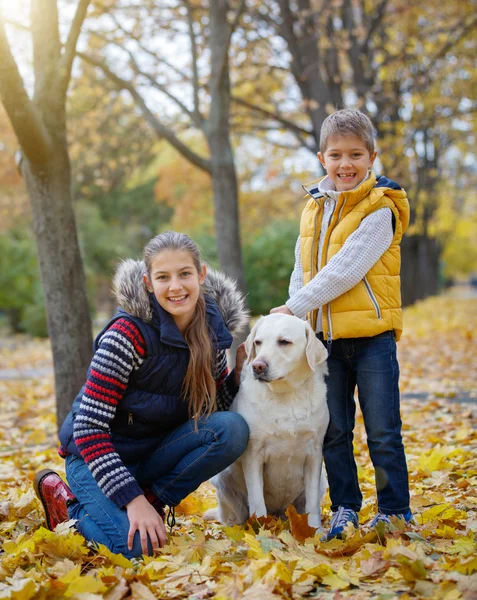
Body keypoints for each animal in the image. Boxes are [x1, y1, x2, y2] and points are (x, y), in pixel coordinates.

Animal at [206, 312, 330, 528]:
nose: (258, 366)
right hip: (222, 479)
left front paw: (315, 530)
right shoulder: (253, 454)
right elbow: (257, 500)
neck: (285, 395)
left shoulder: (314, 453)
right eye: (258, 342)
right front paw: (260, 527)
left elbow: (313, 502)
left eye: (284, 342)